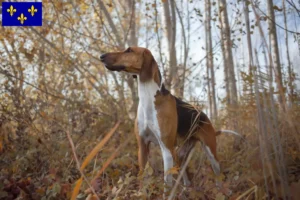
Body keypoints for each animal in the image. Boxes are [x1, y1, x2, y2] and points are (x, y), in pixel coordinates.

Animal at [99, 46, 240, 191]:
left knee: (217, 174)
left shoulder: (166, 150)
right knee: (186, 175)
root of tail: (205, 117)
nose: (101, 56)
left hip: (209, 152)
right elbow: (142, 177)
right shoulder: (142, 147)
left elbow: (167, 185)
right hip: (179, 154)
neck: (148, 98)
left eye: (129, 50)